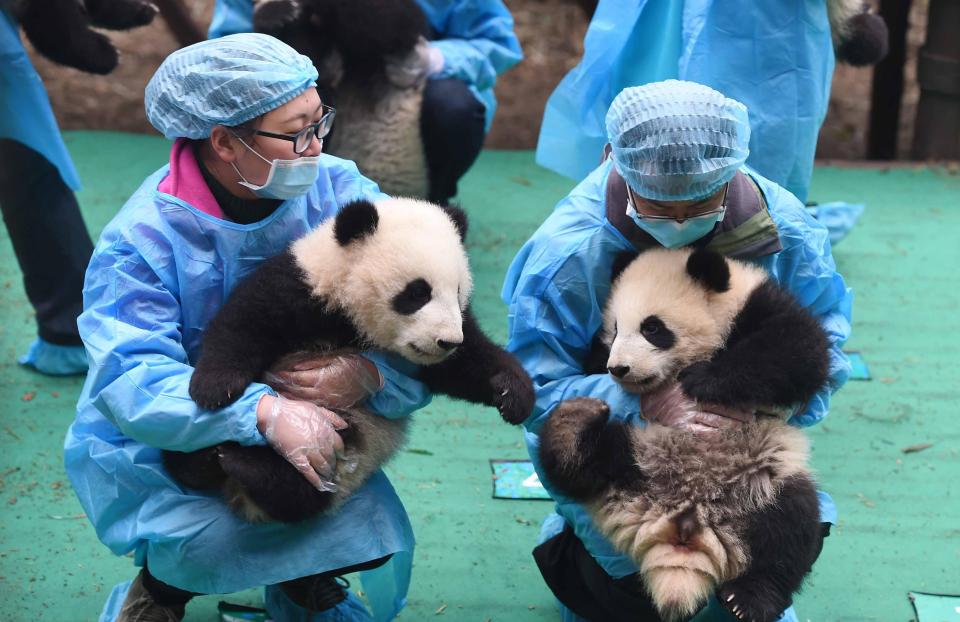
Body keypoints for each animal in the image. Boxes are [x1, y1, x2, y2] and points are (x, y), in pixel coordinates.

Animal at [160, 199, 528, 528]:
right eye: (418, 292)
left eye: (458, 291)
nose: (447, 342)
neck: (352, 319)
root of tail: (235, 492)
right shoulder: (302, 286)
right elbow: (246, 321)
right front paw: (213, 388)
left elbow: (468, 363)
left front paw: (514, 394)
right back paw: (201, 458)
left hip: (341, 448)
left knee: (302, 491)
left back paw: (246, 466)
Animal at [540, 249, 832, 622]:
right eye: (616, 328)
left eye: (652, 328)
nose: (618, 369)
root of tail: (687, 521)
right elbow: (582, 369)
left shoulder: (757, 304)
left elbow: (799, 351)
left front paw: (704, 380)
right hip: (634, 455)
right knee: (588, 465)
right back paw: (572, 424)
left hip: (763, 478)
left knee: (790, 527)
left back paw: (750, 598)